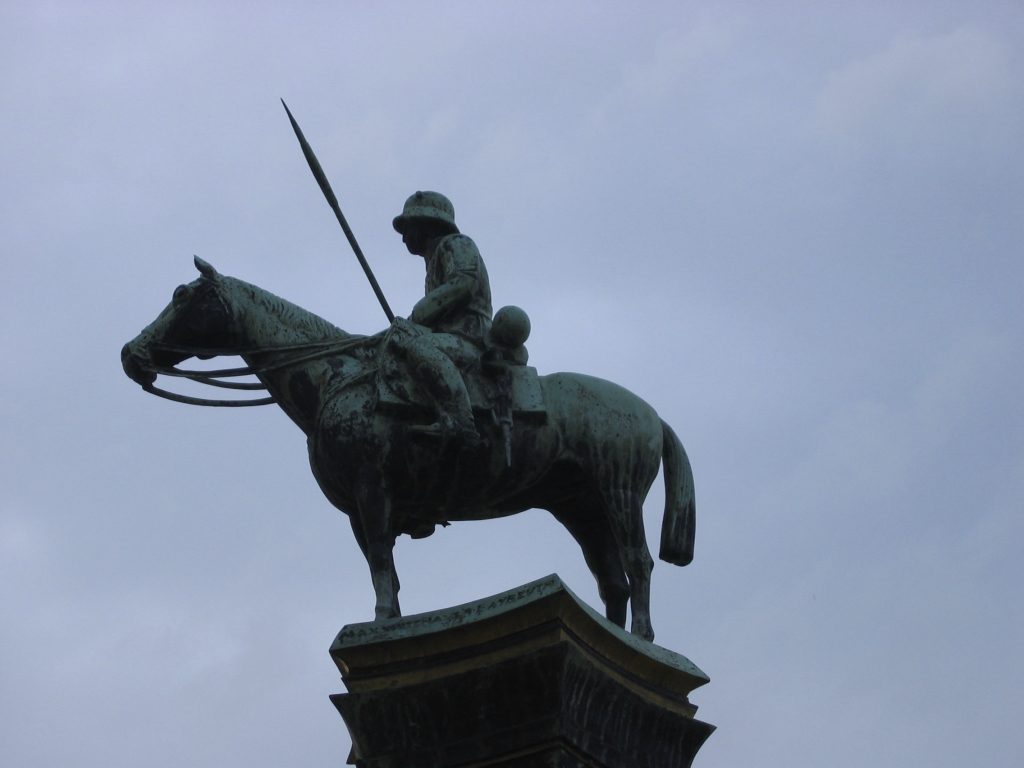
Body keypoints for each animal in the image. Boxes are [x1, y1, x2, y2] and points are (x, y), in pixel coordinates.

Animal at [119, 259, 696, 643]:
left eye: (182, 296)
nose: (132, 354)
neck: (334, 376)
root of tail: (650, 414)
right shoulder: (357, 509)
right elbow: (385, 570)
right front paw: (389, 621)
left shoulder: (373, 490)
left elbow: (380, 558)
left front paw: (378, 625)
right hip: (580, 507)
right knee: (611, 579)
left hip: (617, 492)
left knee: (638, 563)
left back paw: (643, 639)